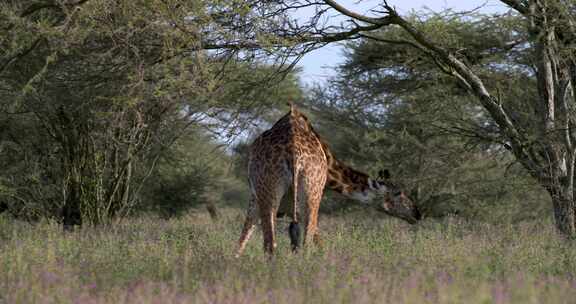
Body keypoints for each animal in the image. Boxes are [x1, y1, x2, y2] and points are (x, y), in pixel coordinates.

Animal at [234, 104, 418, 256]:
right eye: (398, 192)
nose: (417, 214)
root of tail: (293, 150)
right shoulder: (259, 198)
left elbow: (241, 242)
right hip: (301, 194)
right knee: (292, 243)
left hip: (283, 193)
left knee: (275, 243)